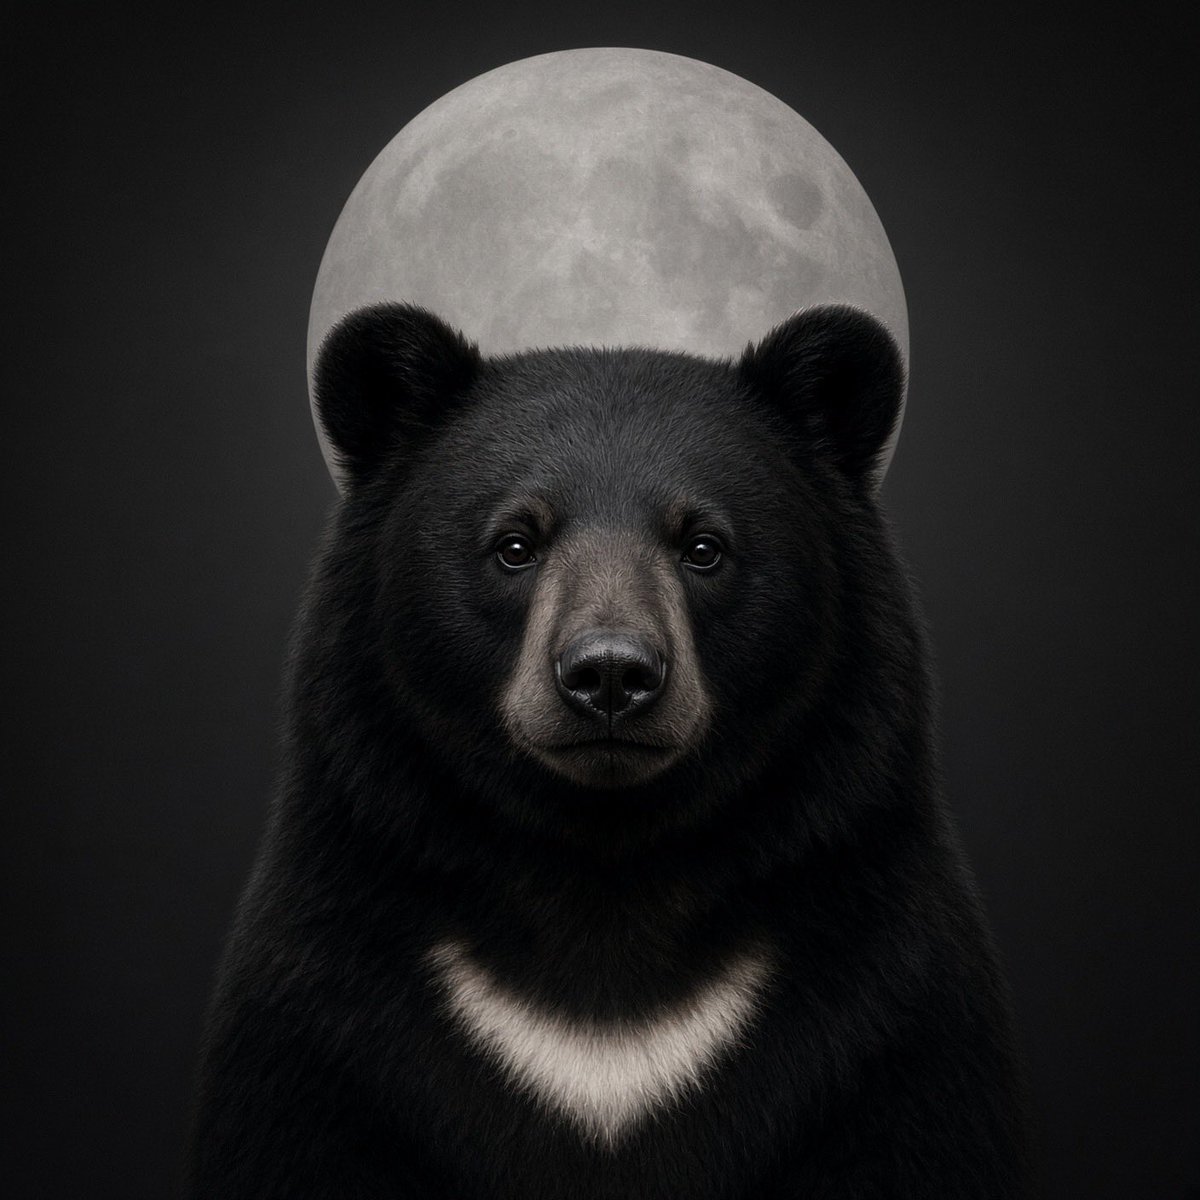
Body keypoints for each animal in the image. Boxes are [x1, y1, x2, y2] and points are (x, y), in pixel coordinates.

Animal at [184, 301, 1029, 1198]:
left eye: (703, 546)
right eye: (515, 544)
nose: (612, 674)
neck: (604, 879)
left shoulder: (888, 1006)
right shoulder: (328, 1007)